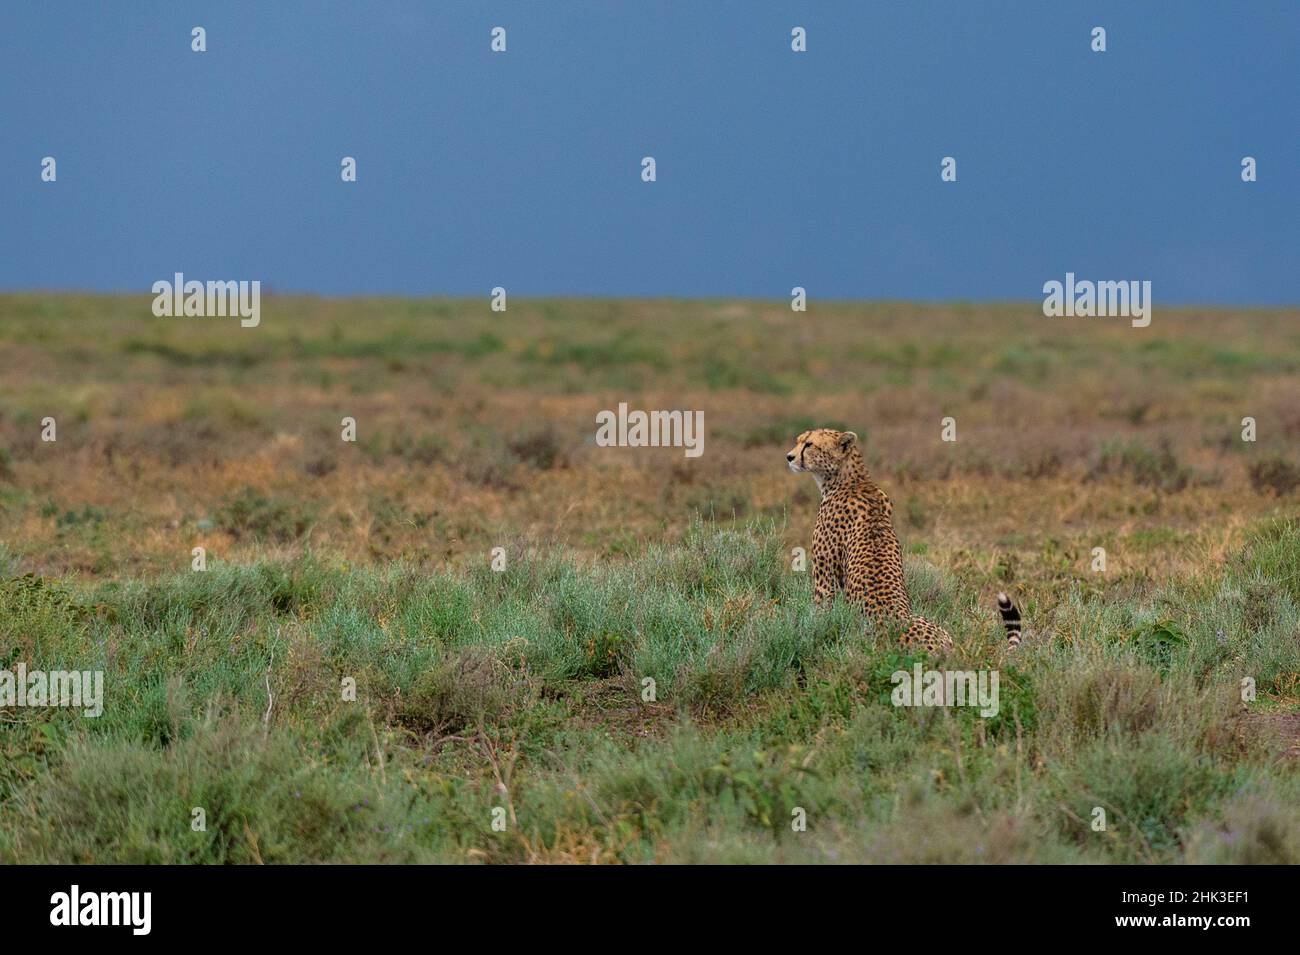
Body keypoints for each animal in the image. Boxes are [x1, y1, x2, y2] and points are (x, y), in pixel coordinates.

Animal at [786, 427, 1022, 653]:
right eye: (798, 440)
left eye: (809, 444)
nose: (789, 457)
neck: (852, 480)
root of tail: (946, 649)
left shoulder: (826, 579)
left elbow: (820, 613)